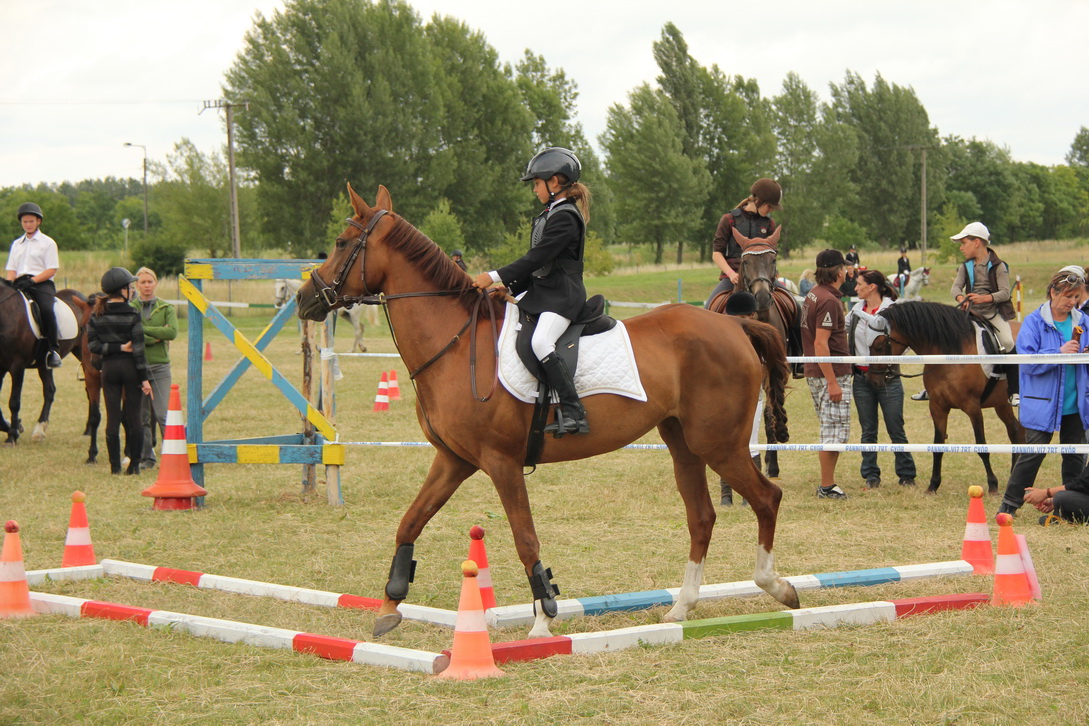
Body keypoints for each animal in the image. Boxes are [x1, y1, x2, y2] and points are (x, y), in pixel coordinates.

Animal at [0, 284, 99, 460]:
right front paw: (15, 427)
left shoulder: (17, 366)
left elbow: (14, 401)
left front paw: (12, 436)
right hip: (44, 364)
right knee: (50, 390)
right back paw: (40, 430)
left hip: (83, 355)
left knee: (87, 390)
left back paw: (86, 430)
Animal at [706, 226, 796, 479]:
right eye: (745, 262)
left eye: (773, 259)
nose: (762, 297)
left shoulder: (771, 370)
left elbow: (769, 413)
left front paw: (772, 463)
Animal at [867, 300, 1024, 494]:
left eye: (879, 347)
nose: (873, 381)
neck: (950, 353)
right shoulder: (938, 407)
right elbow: (938, 446)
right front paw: (933, 485)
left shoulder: (973, 407)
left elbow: (981, 446)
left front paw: (992, 484)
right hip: (1001, 404)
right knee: (1016, 431)